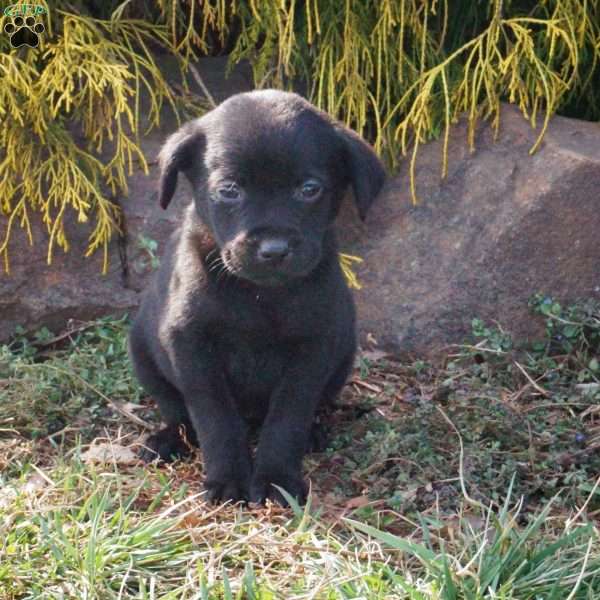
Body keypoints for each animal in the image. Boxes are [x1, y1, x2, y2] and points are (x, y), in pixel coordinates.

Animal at [129, 89, 386, 504]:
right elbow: (214, 416)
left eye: (309, 189)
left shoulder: (313, 347)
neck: (259, 295)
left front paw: (276, 478)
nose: (274, 249)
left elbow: (288, 417)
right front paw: (227, 479)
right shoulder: (190, 344)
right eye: (230, 190)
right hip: (143, 354)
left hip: (343, 355)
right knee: (177, 412)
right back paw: (168, 440)